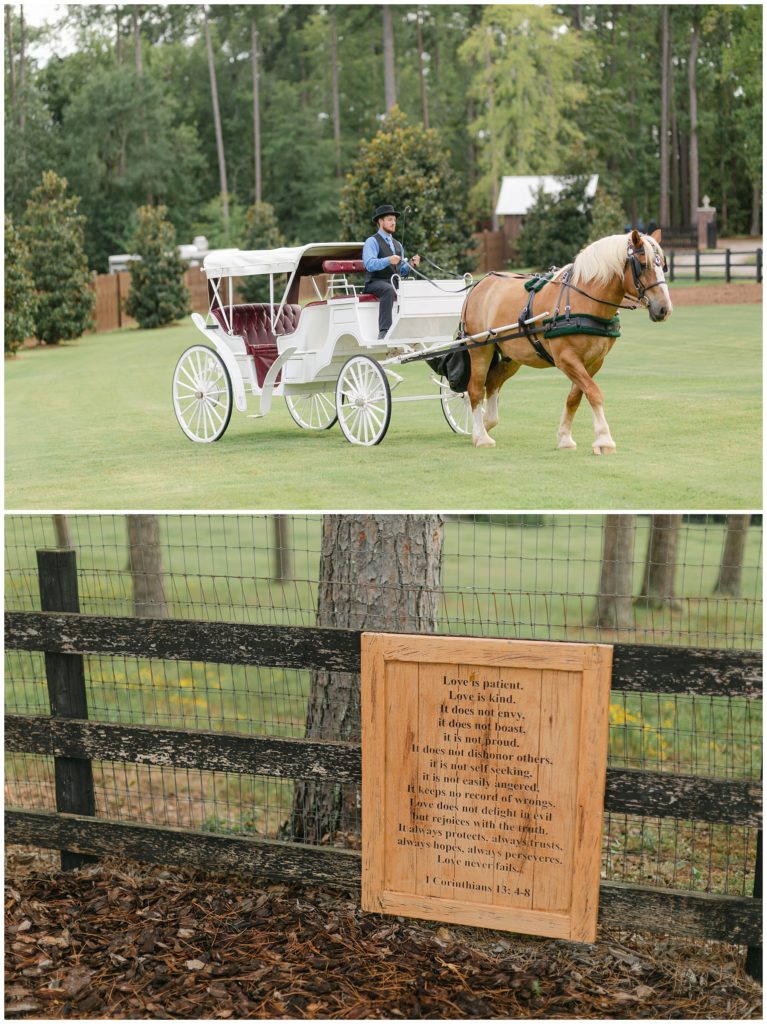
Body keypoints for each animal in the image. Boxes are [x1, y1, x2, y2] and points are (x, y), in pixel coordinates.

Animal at [460, 234, 671, 458]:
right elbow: (594, 392)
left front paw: (564, 438)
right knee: (475, 389)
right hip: (480, 349)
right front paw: (604, 439)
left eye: (663, 265)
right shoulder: (566, 359)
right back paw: (481, 436)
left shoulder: (594, 362)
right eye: (643, 265)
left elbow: (575, 397)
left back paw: (484, 425)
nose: (664, 308)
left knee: (492, 381)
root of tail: (481, 283)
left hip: (513, 356)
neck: (584, 301)